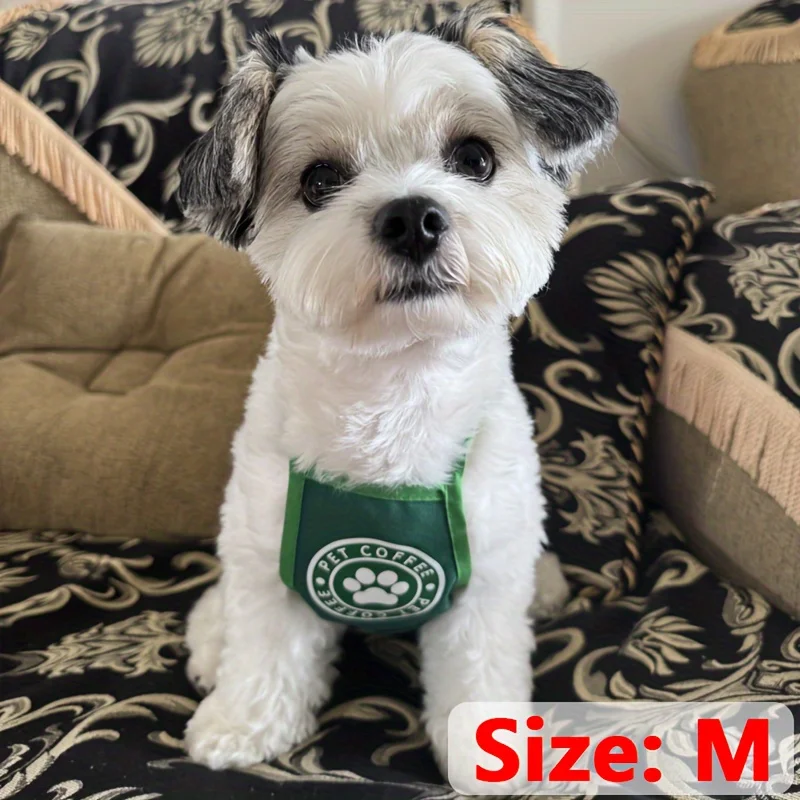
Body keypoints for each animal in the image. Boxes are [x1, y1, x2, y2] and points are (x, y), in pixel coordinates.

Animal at [177, 1, 617, 779]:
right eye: (320, 179)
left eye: (474, 158)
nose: (412, 216)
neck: (395, 395)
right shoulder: (268, 551)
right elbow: (263, 649)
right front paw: (242, 723)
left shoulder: (485, 573)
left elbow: (478, 668)